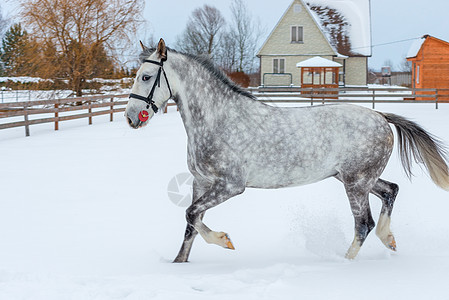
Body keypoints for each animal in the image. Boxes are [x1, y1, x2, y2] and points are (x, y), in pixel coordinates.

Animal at [123, 38, 448, 262]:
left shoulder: (230, 185)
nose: (130, 117)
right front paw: (179, 264)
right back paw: (388, 238)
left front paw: (224, 240)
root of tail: (381, 116)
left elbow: (191, 214)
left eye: (146, 77)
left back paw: (345, 263)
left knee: (362, 224)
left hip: (356, 183)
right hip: (356, 178)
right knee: (390, 191)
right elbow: (191, 222)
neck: (217, 119)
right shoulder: (200, 182)